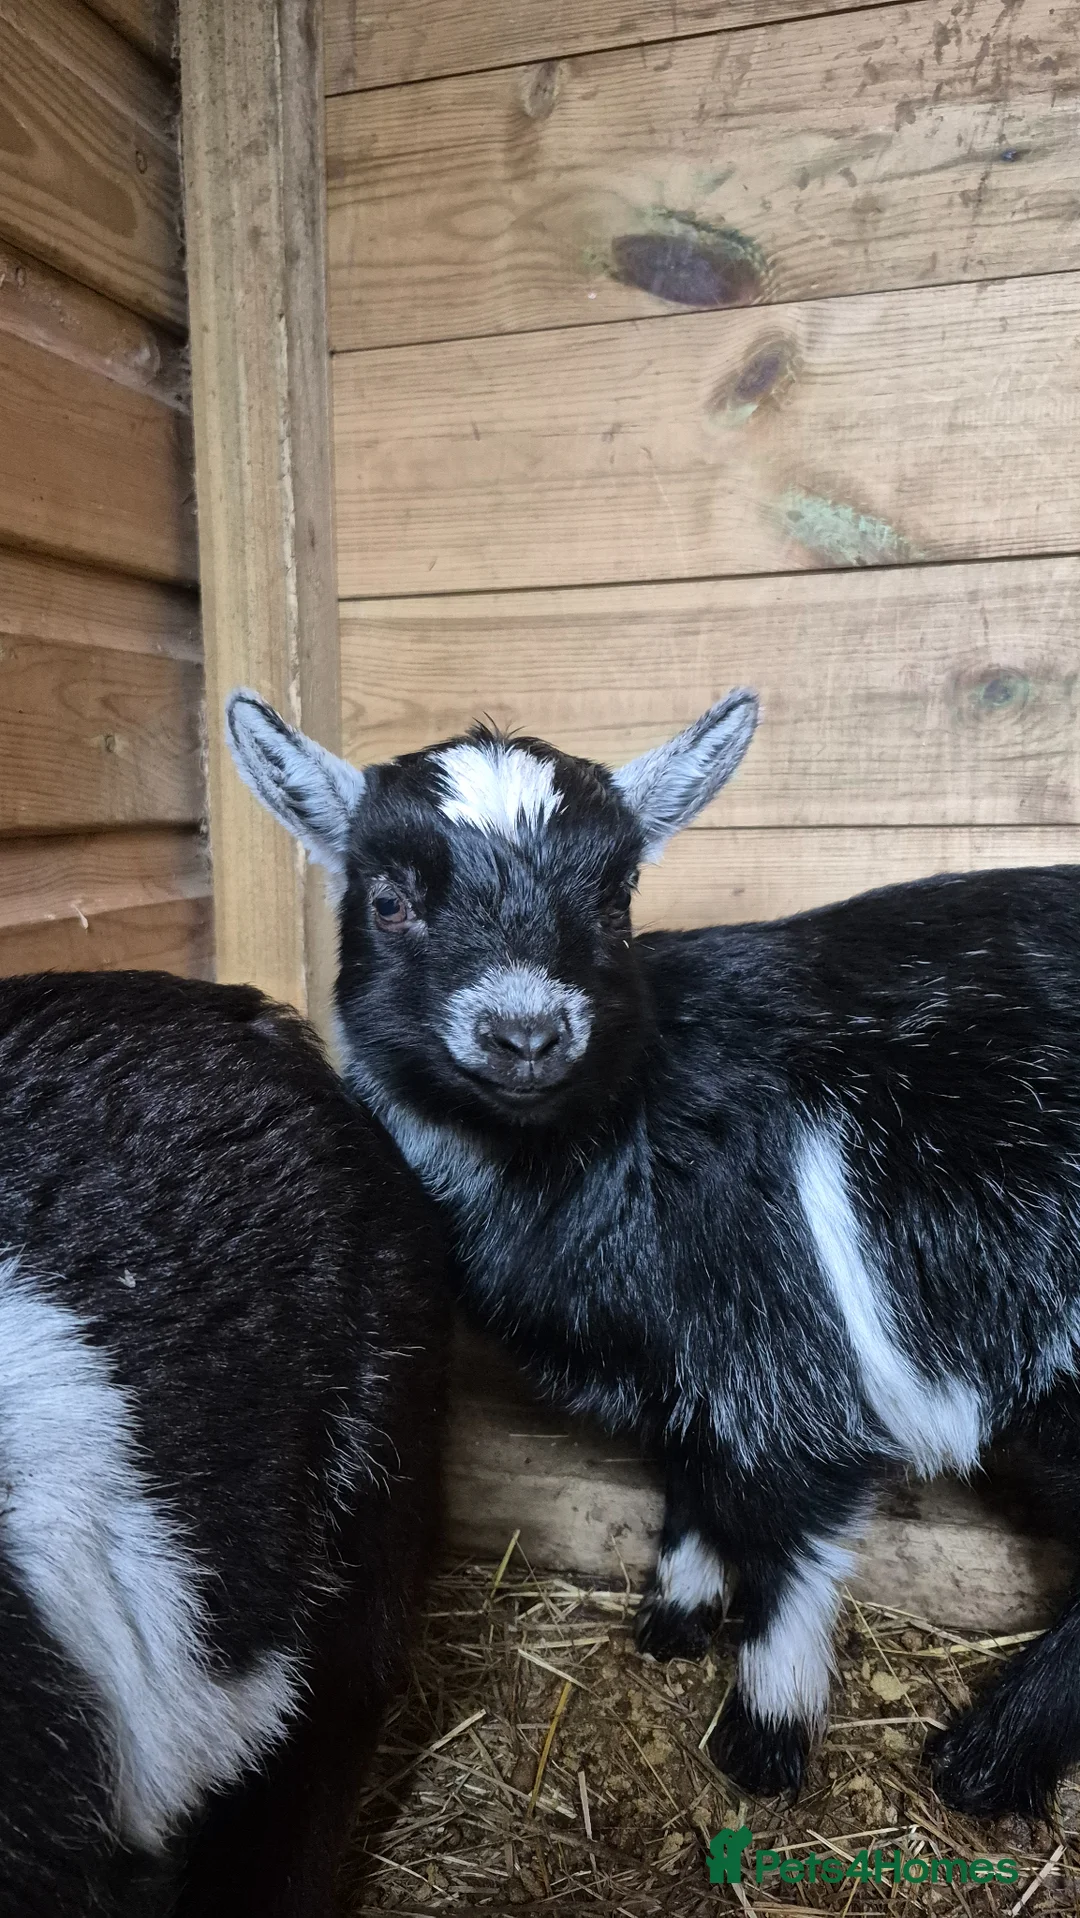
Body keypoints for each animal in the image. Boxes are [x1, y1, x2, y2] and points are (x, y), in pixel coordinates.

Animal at [228, 685, 1080, 1818]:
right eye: (390, 901)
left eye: (616, 896)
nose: (527, 1035)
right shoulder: (696, 1358)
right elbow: (690, 1481)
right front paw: (675, 1620)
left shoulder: (787, 1346)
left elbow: (791, 1540)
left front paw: (763, 1739)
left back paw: (988, 1756)